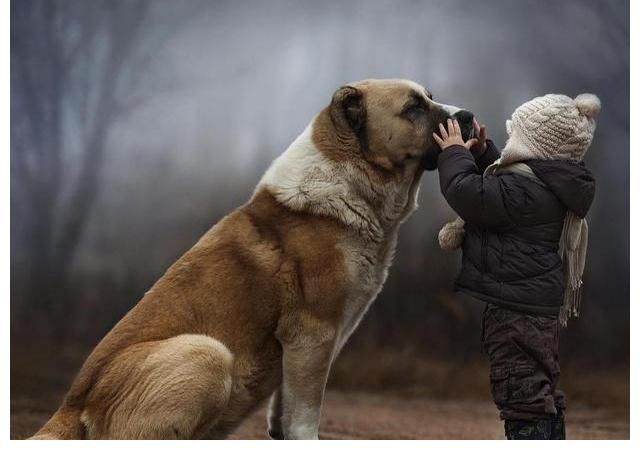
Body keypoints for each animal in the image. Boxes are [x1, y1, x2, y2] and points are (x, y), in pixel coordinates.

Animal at [30, 79, 472, 438]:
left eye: (430, 97)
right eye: (413, 107)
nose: (467, 116)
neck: (350, 182)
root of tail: (70, 406)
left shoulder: (302, 349)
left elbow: (283, 408)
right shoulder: (313, 334)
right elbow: (305, 416)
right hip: (206, 354)